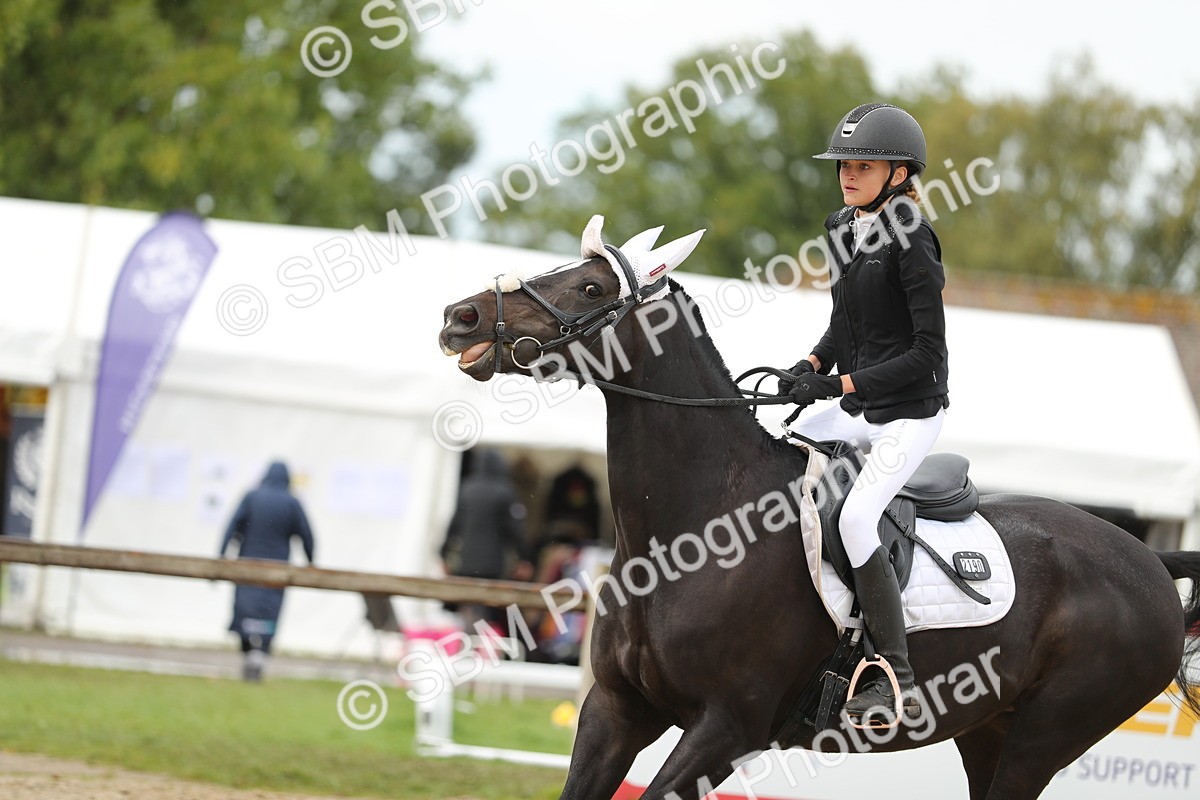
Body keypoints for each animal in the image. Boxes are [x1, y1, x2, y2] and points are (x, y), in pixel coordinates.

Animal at [438, 216, 1200, 800]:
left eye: (590, 287)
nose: (460, 316)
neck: (693, 530)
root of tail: (1148, 560)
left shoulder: (729, 728)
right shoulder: (618, 709)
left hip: (1042, 737)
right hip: (988, 730)